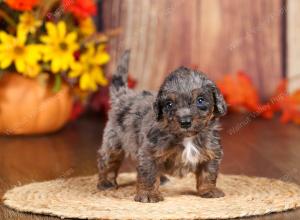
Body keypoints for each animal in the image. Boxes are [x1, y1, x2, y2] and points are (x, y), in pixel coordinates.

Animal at [97, 50, 226, 203]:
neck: (186, 137)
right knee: (108, 161)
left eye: (200, 100)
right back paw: (105, 182)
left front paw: (209, 190)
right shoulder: (149, 152)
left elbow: (208, 173)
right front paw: (148, 194)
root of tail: (123, 96)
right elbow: (149, 174)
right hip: (113, 142)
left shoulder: (211, 151)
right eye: (169, 104)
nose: (185, 121)